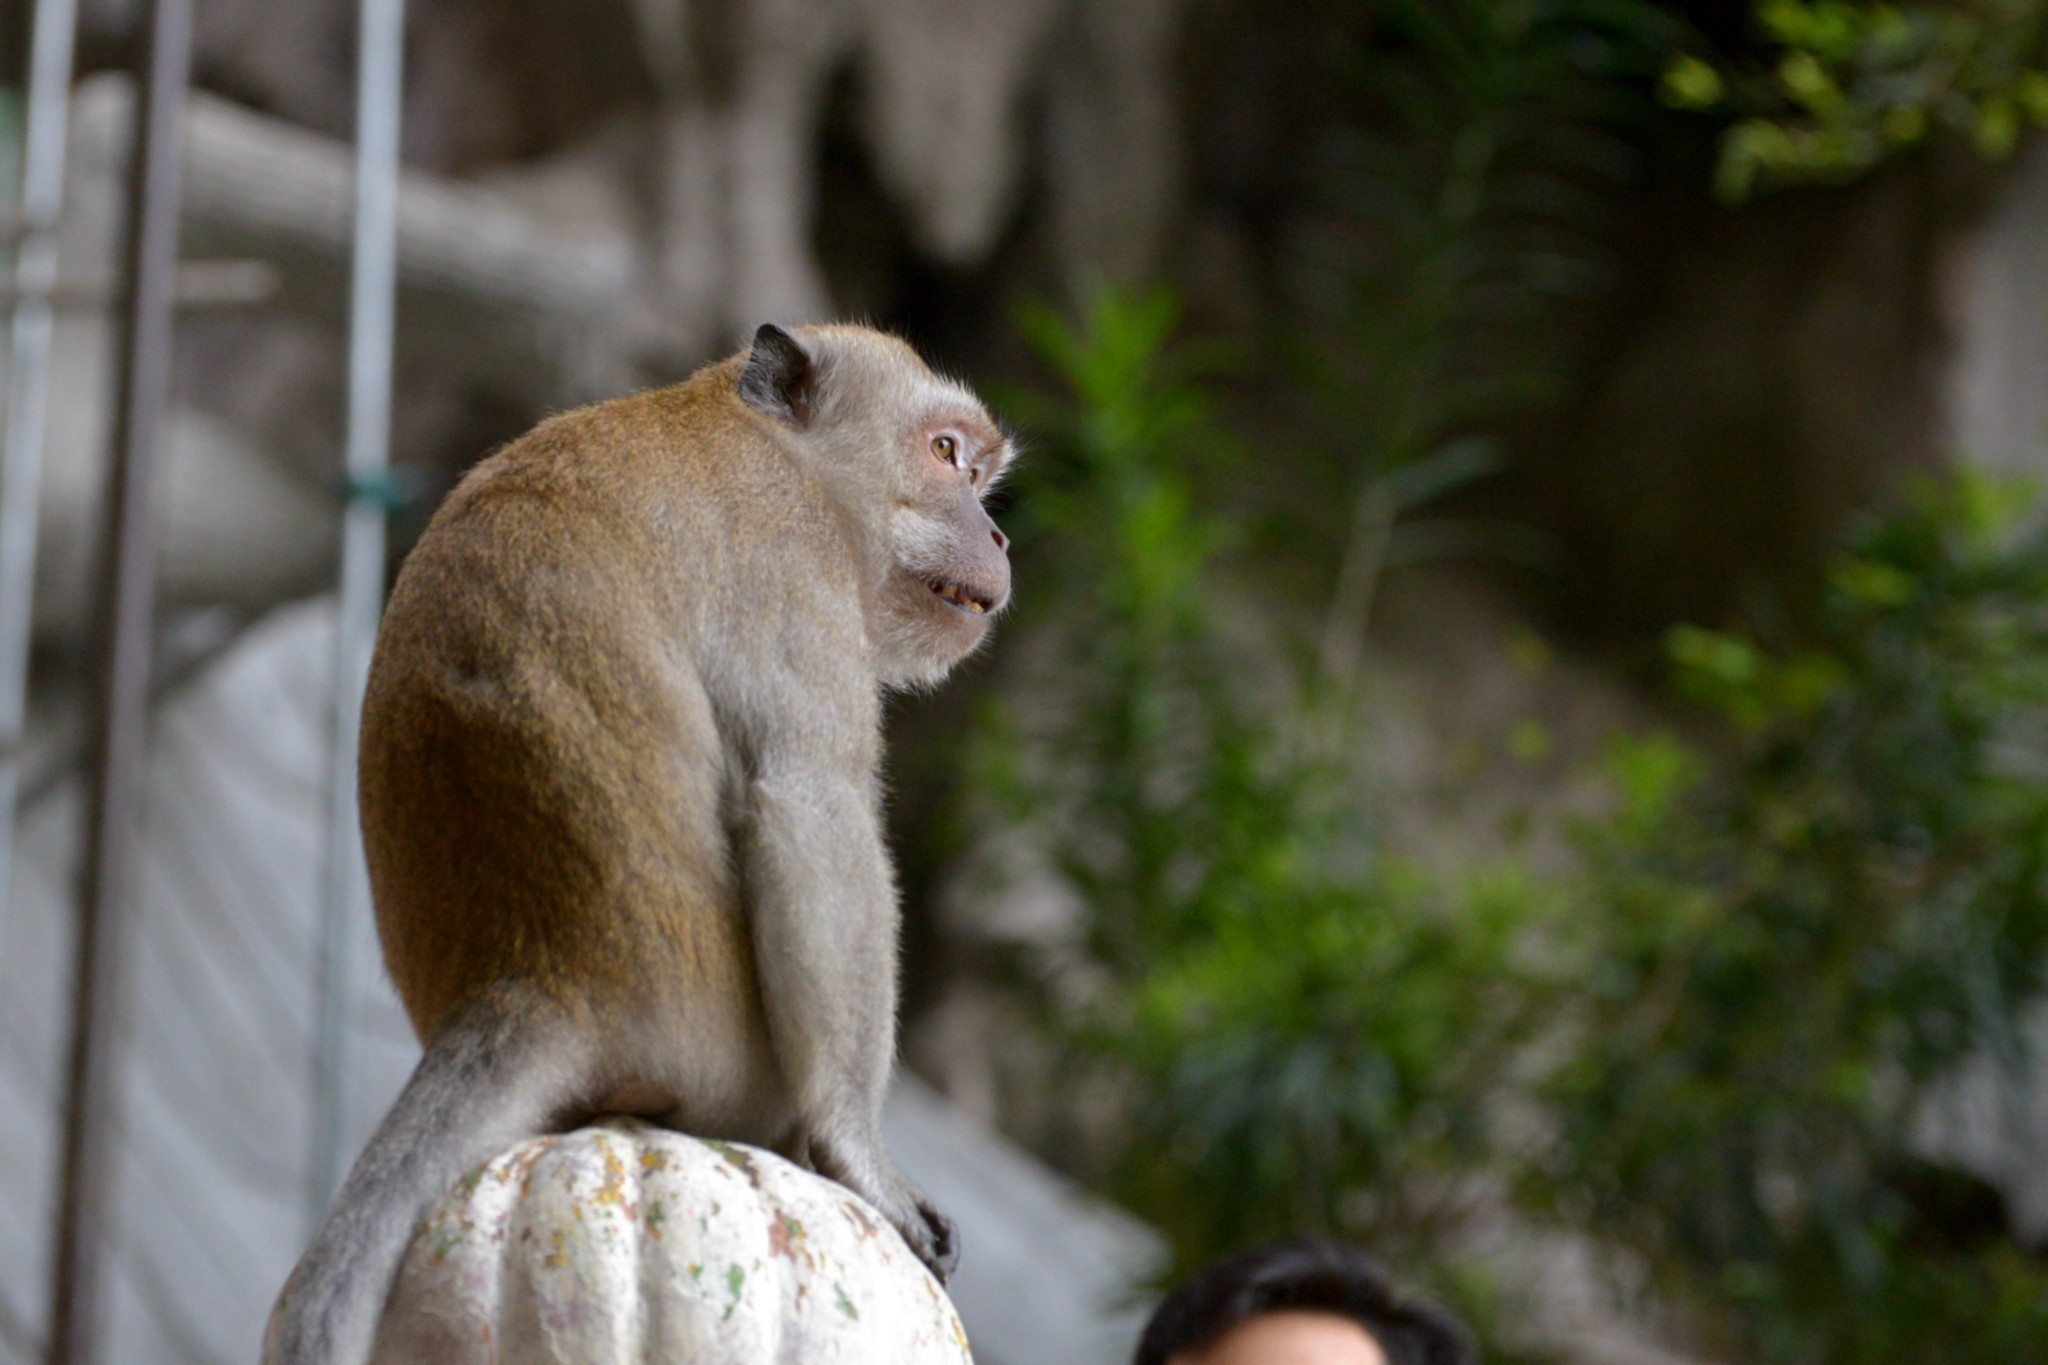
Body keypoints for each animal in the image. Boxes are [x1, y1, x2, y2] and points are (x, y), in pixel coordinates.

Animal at [264, 323, 1015, 1365]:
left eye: (980, 472)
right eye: (946, 454)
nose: (998, 534)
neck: (780, 449)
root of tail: (538, 977)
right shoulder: (796, 567)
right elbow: (809, 804)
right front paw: (859, 1150)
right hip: (732, 1060)